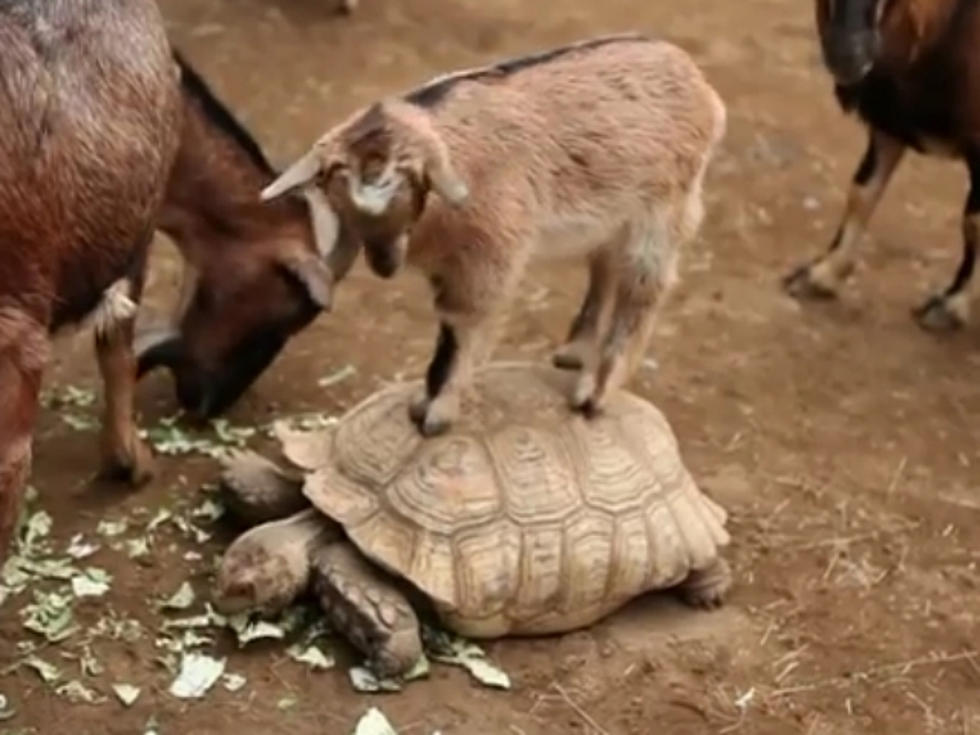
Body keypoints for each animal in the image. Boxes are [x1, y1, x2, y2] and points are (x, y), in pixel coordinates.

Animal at [264, 33, 724, 436]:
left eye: (410, 189)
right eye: (343, 204)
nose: (384, 265)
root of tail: (698, 82)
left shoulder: (485, 261)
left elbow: (461, 330)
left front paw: (437, 414)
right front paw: (427, 402)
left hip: (665, 210)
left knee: (643, 288)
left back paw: (594, 392)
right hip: (614, 215)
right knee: (604, 265)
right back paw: (575, 352)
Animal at [784, 0, 980, 330]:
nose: (847, 55)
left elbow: (974, 223)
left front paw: (952, 306)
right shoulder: (889, 127)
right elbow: (861, 194)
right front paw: (821, 274)